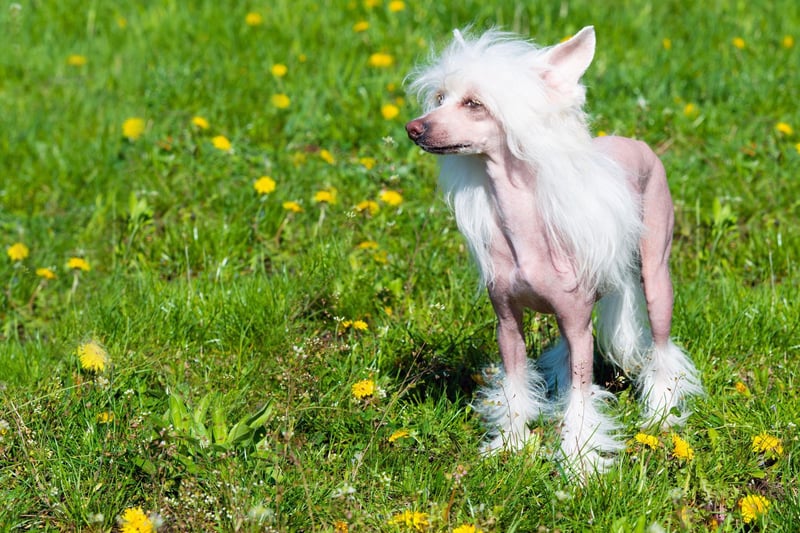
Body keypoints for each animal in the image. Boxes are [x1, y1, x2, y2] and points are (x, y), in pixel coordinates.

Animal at [406, 25, 700, 476]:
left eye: (474, 104)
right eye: (440, 98)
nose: (414, 128)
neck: (526, 229)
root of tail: (636, 142)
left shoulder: (580, 327)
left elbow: (581, 397)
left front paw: (578, 461)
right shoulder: (507, 323)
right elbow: (514, 385)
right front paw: (510, 444)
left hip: (656, 275)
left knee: (662, 345)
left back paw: (661, 412)